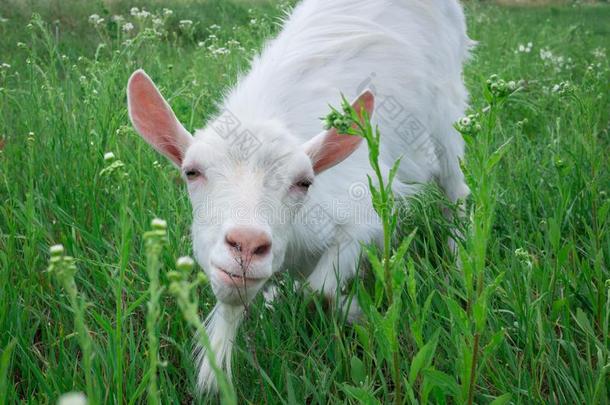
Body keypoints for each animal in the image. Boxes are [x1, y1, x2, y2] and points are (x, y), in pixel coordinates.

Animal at [127, 0, 470, 392]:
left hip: (446, 113)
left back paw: (460, 263)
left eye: (304, 182)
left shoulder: (365, 214)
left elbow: (318, 291)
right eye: (191, 172)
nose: (247, 244)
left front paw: (355, 311)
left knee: (456, 187)